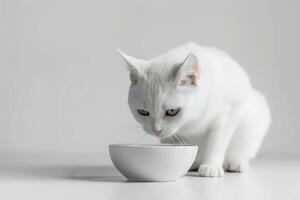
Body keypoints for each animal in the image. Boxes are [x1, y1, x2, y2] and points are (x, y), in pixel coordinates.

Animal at [118, 42, 270, 177]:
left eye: (172, 111)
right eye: (143, 112)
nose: (156, 130)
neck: (192, 120)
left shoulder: (228, 112)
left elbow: (217, 142)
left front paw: (211, 166)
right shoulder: (171, 137)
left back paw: (235, 163)